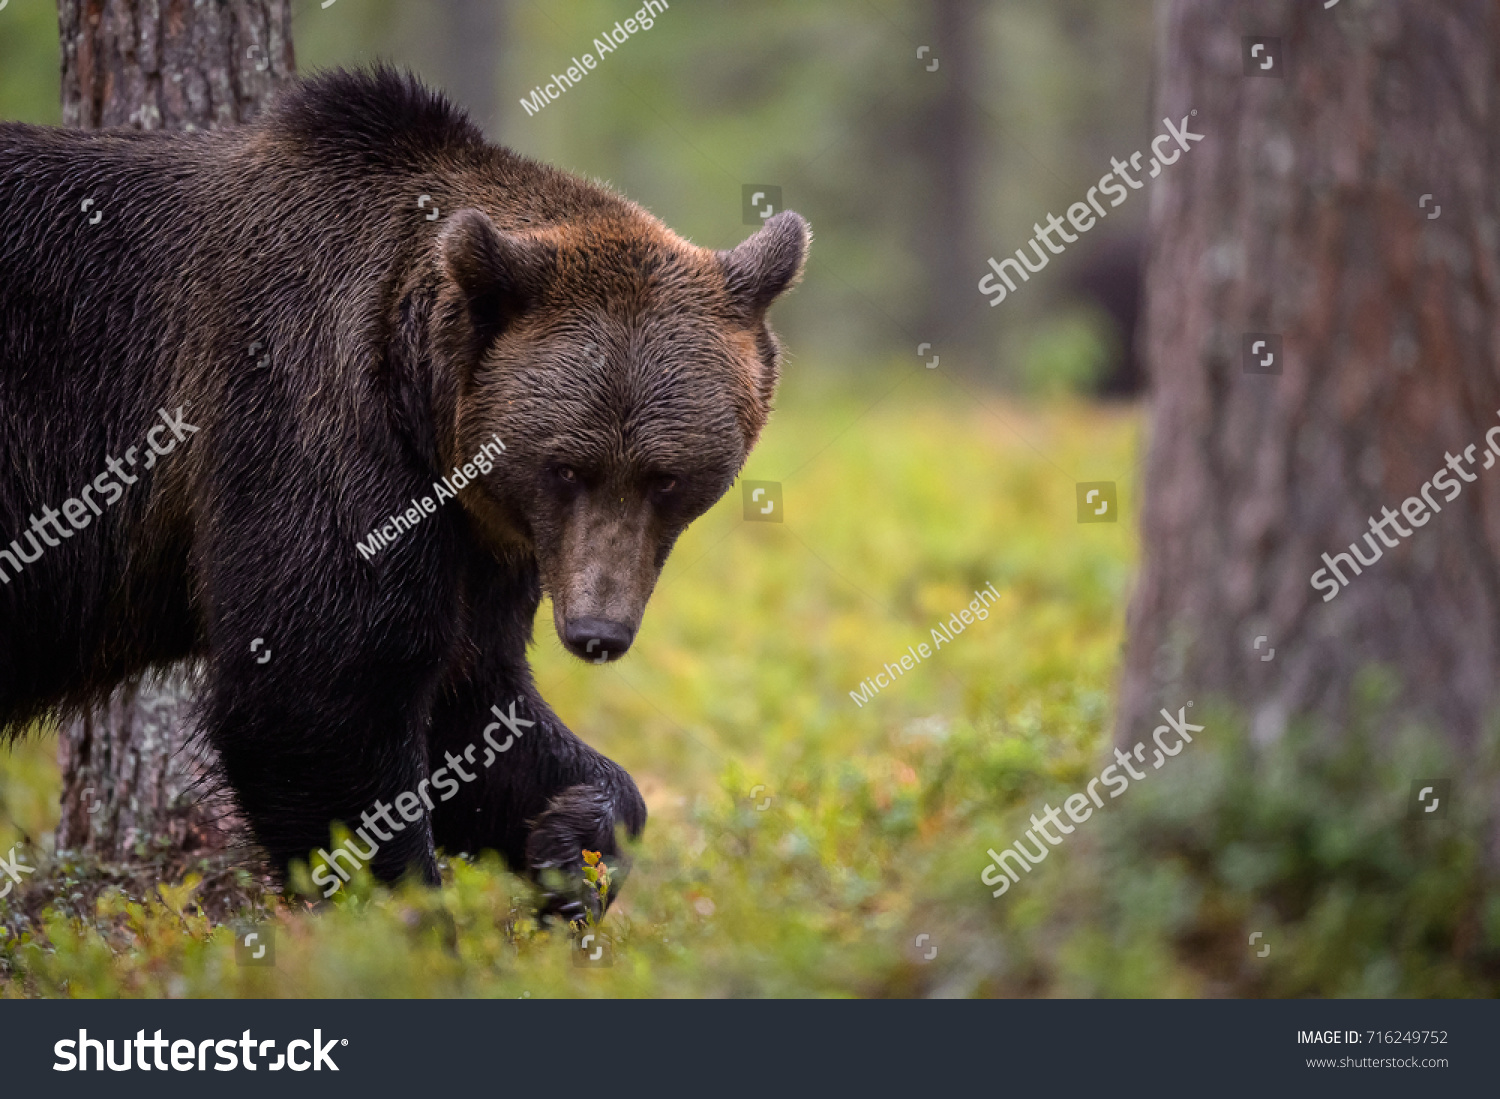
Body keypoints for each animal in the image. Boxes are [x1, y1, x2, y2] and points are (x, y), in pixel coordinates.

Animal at [0, 64, 810, 911]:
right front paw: (406, 908)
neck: (424, 407)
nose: (598, 630)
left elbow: (475, 705)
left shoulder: (485, 536)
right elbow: (320, 692)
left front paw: (572, 836)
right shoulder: (308, 419)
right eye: (566, 466)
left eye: (666, 477)